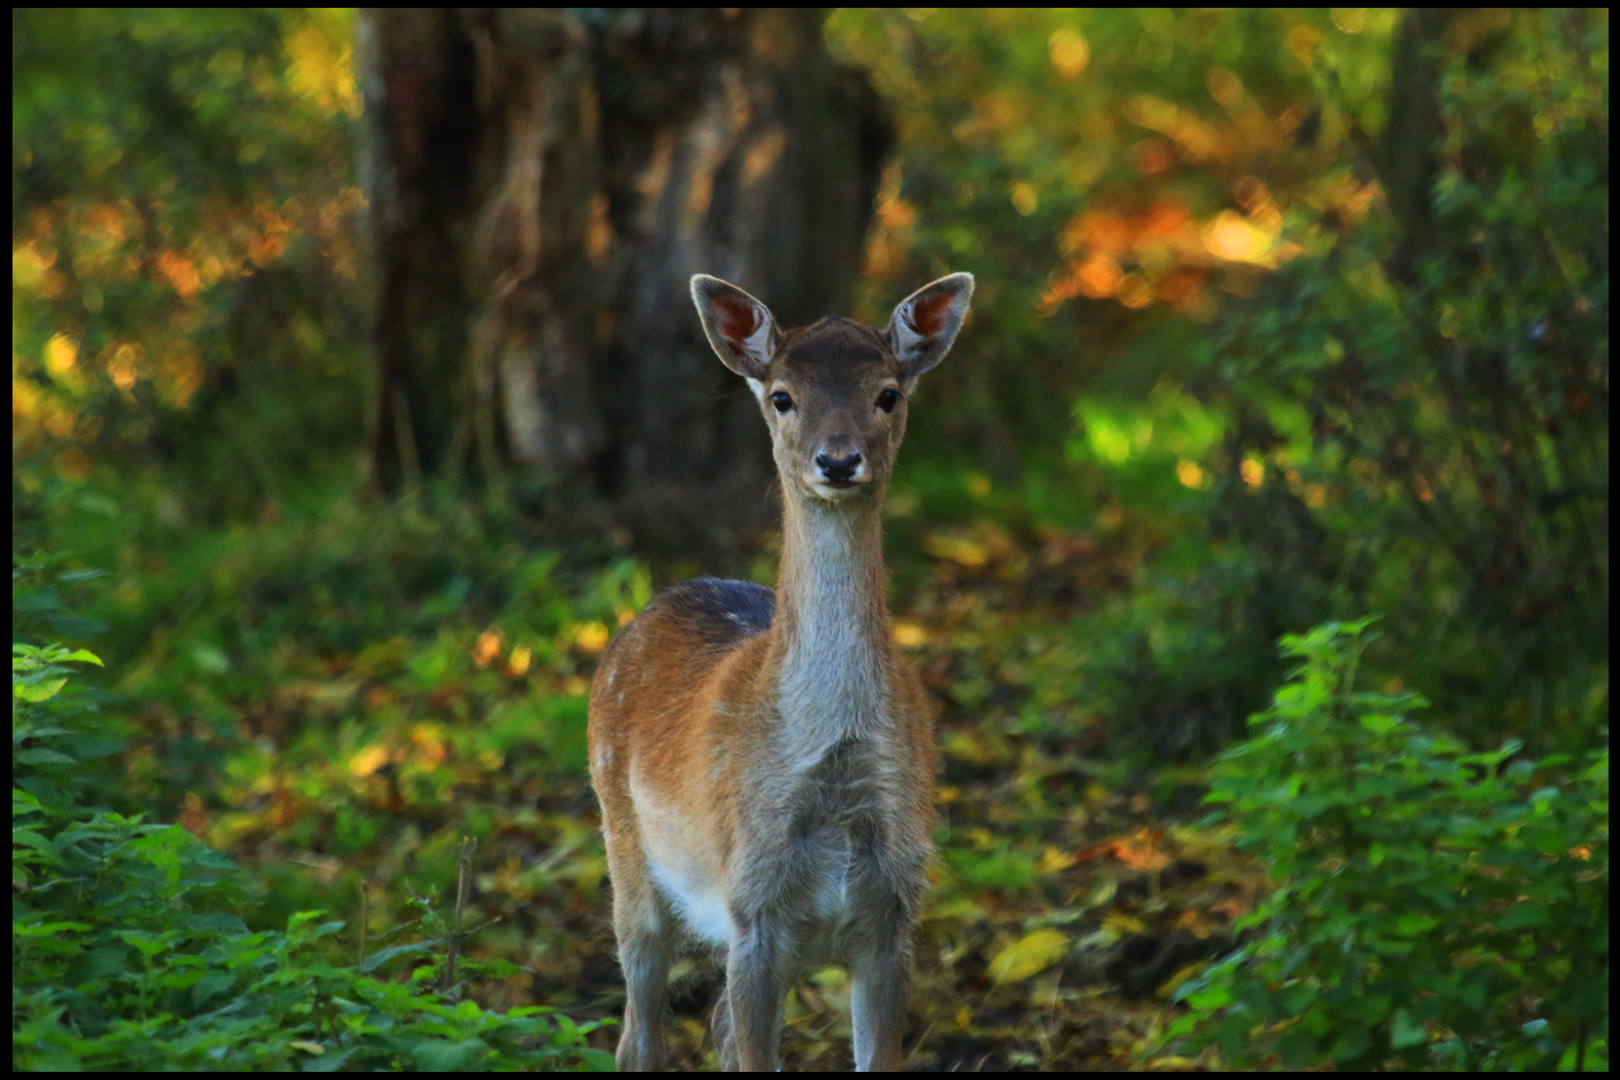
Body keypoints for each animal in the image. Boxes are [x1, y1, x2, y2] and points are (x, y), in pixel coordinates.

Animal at [592, 272, 978, 1075]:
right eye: (782, 396)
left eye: (887, 393)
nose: (837, 460)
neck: (832, 781)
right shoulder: (752, 908)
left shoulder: (894, 914)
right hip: (625, 845)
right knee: (638, 1031)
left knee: (714, 1025)